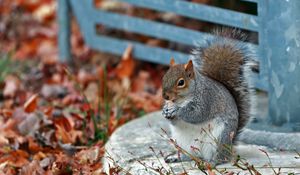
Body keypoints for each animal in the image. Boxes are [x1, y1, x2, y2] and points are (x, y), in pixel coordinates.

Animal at [161, 28, 254, 165]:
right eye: (164, 77)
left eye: (181, 82)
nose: (165, 96)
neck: (182, 100)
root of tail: (229, 147)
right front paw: (165, 110)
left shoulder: (207, 99)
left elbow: (197, 114)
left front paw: (176, 110)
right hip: (181, 142)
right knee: (188, 155)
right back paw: (176, 157)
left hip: (219, 138)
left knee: (218, 158)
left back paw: (210, 163)